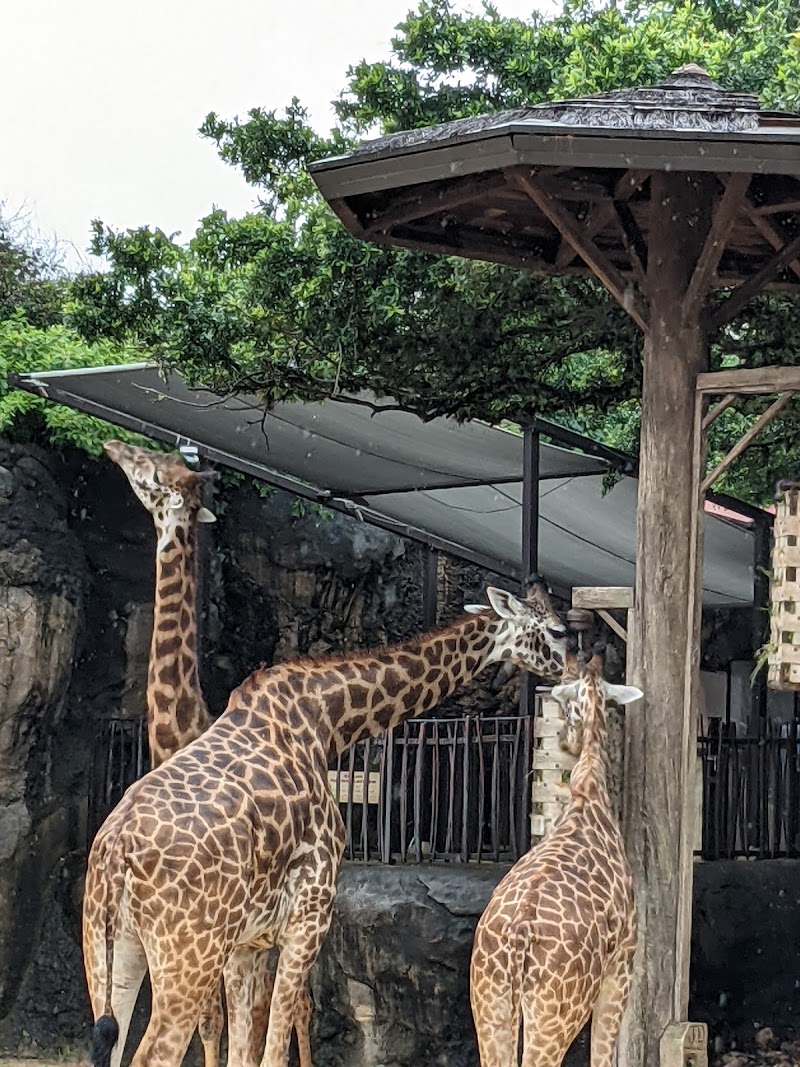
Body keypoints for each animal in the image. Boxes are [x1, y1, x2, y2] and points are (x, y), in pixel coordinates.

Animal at [82, 582, 568, 1067]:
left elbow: (245, 1050)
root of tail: (117, 849)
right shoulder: (308, 917)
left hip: (113, 949)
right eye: (558, 630)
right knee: (154, 1054)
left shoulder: (245, 944)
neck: (328, 720)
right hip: (188, 956)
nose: (571, 668)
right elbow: (273, 1050)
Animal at [103, 441, 310, 1067]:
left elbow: (218, 1019)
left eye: (150, 470)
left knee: (296, 1004)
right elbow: (212, 1020)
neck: (181, 730)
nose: (113, 446)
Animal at [470, 650, 642, 1067]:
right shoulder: (623, 963)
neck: (588, 792)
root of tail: (517, 939)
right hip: (556, 1013)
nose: (563, 740)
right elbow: (603, 1054)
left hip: (489, 1001)